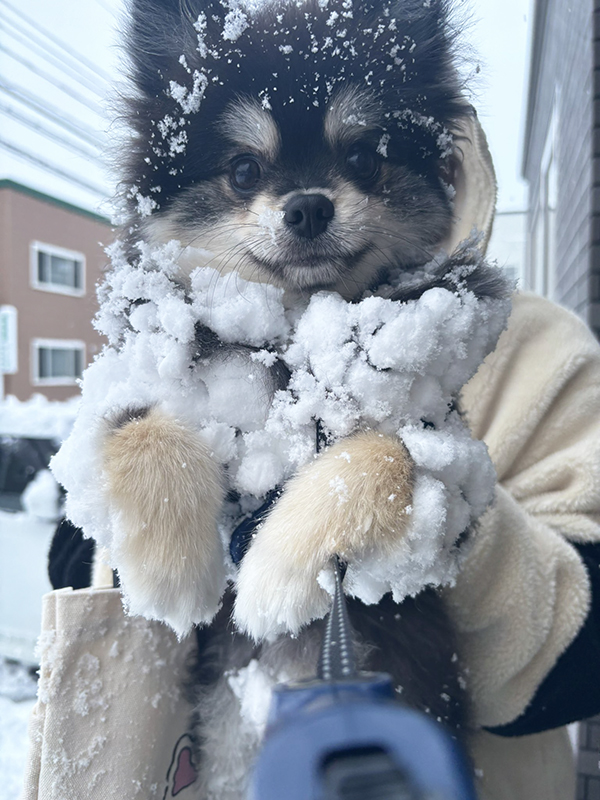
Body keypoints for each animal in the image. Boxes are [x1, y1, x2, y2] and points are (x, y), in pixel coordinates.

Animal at [90, 0, 506, 792]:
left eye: (364, 159)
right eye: (243, 170)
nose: (309, 206)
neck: (290, 342)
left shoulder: (456, 479)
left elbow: (384, 453)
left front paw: (276, 574)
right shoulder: (122, 392)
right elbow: (143, 426)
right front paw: (172, 572)